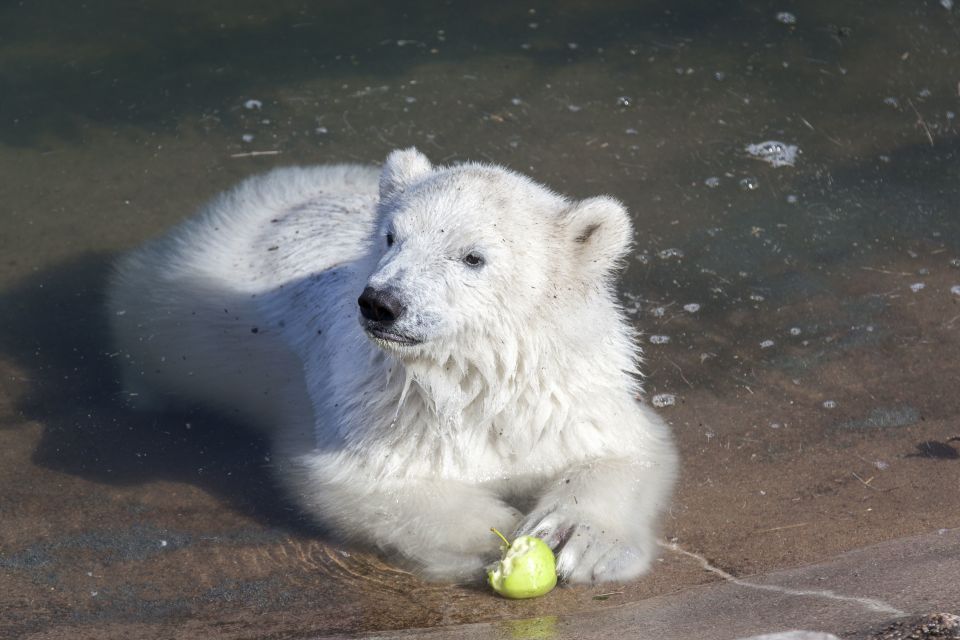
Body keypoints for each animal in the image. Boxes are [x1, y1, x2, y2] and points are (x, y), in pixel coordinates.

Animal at [110, 149, 676, 584]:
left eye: (472, 257)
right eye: (391, 237)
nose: (381, 303)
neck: (472, 379)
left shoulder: (564, 398)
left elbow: (626, 451)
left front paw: (578, 537)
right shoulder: (375, 412)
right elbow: (373, 482)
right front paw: (489, 534)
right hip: (169, 310)